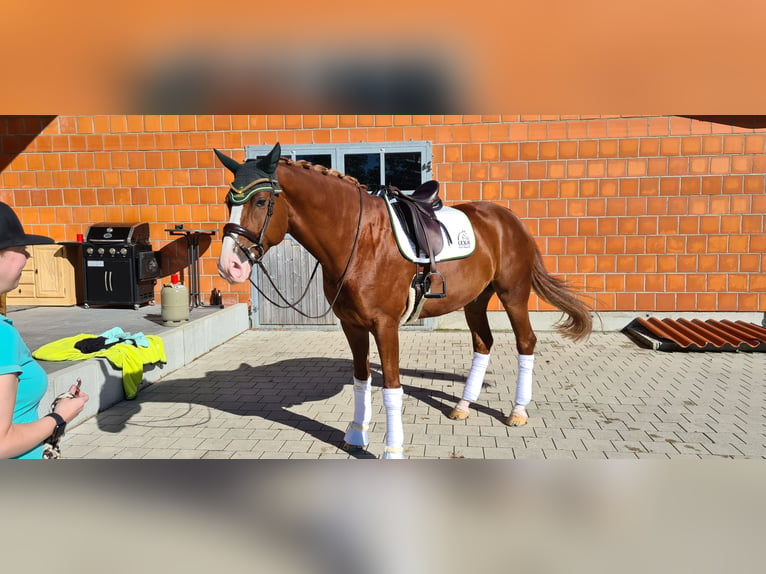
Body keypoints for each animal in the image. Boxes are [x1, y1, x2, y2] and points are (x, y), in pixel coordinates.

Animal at [216, 145, 592, 464]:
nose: (229, 266)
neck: (359, 239)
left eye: (260, 202)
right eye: (227, 201)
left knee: (525, 342)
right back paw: (462, 405)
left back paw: (517, 411)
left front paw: (392, 450)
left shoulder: (385, 327)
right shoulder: (352, 326)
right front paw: (356, 436)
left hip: (513, 295)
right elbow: (362, 380)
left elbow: (392, 388)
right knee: (483, 344)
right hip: (475, 300)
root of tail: (510, 219)